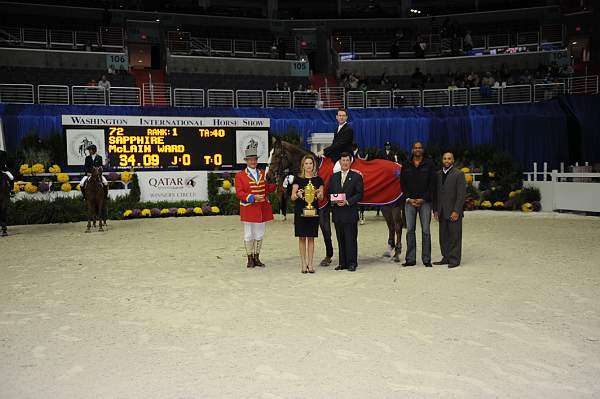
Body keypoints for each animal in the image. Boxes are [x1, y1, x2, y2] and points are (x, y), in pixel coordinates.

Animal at [266, 138, 404, 262]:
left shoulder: (322, 208)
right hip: (386, 204)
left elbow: (326, 231)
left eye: (276, 155)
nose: (268, 177)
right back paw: (388, 251)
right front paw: (329, 256)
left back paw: (397, 254)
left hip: (395, 204)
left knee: (398, 225)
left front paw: (328, 257)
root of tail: (399, 167)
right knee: (391, 225)